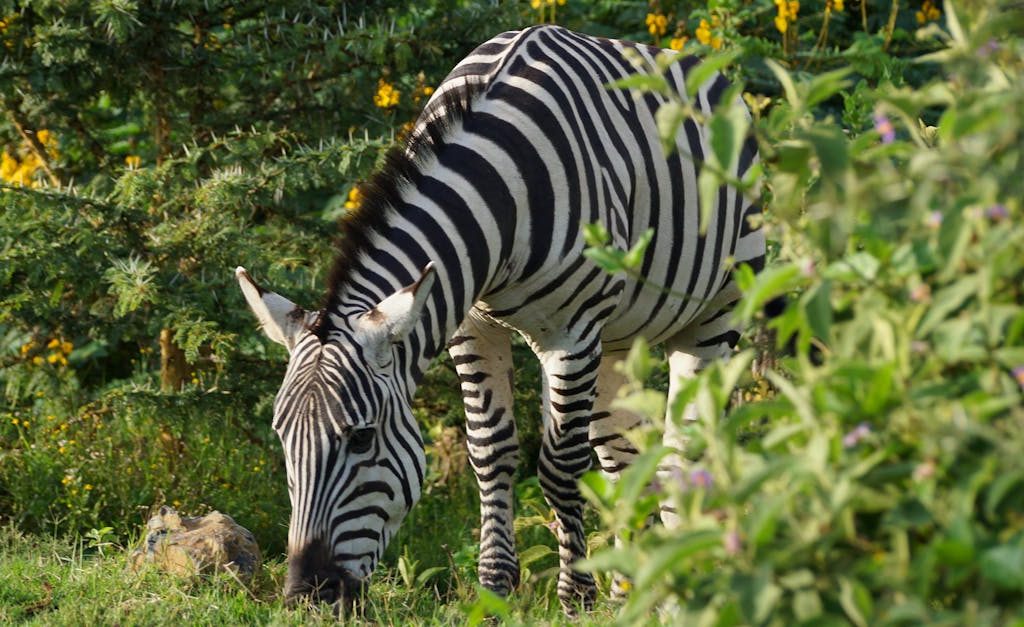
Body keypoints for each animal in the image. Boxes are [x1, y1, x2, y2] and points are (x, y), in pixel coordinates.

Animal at [236, 24, 765, 614]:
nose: (306, 596)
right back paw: (635, 590)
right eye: (283, 437)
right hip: (619, 340)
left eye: (361, 439)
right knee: (625, 457)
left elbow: (560, 465)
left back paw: (685, 586)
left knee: (681, 452)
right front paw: (495, 589)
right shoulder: (471, 326)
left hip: (715, 315)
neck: (501, 188)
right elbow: (490, 452)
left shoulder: (572, 333)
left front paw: (576, 597)